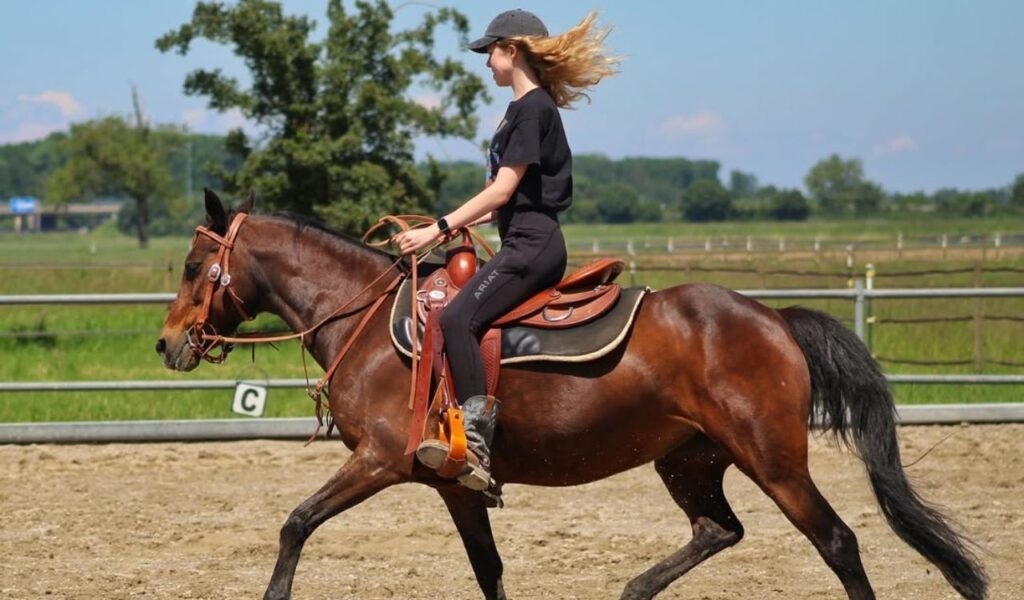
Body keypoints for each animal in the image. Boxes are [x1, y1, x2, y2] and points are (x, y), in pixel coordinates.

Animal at [157, 190, 987, 600]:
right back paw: (633, 590)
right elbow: (489, 571)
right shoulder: (450, 483)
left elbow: (295, 524)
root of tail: (773, 318)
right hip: (689, 460)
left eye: (196, 266)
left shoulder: (381, 461)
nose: (168, 343)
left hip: (774, 459)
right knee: (717, 531)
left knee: (838, 542)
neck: (366, 317)